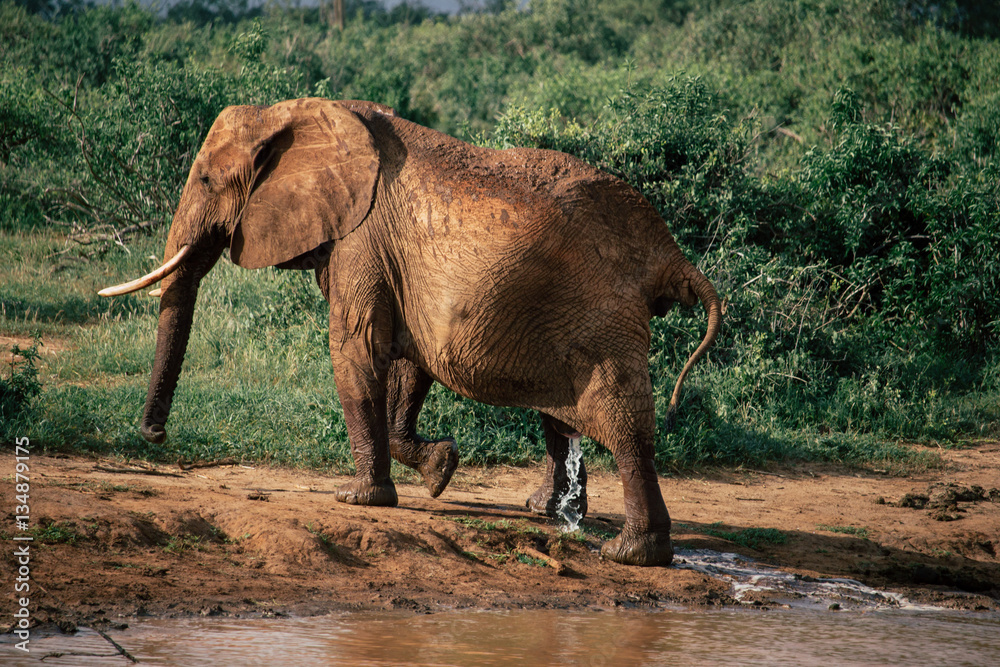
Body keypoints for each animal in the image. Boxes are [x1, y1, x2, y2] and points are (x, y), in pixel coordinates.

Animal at [99, 98, 721, 566]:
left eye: (206, 179)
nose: (154, 435)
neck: (291, 115)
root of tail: (668, 251)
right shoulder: (387, 259)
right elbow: (406, 363)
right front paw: (441, 469)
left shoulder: (360, 238)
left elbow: (354, 349)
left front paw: (358, 499)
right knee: (564, 414)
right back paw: (544, 511)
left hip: (601, 315)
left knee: (622, 419)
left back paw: (629, 553)